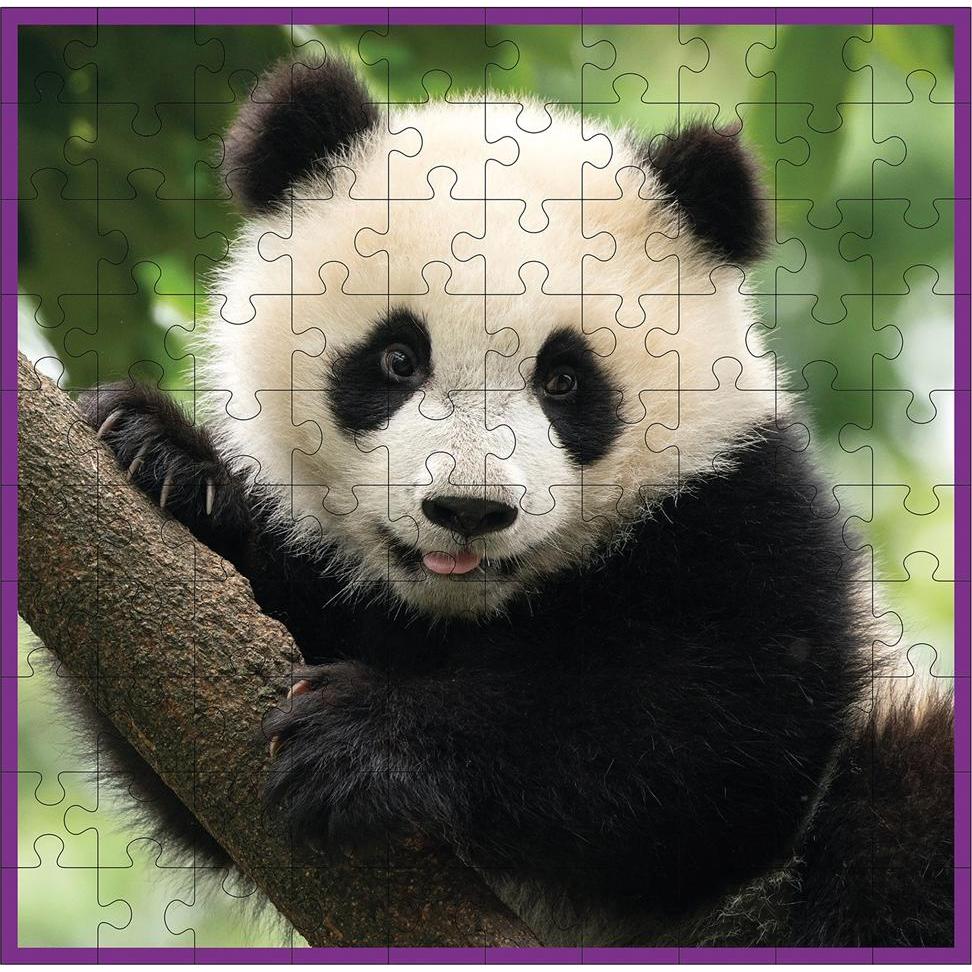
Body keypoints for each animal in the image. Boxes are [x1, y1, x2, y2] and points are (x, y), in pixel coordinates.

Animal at [81, 58, 953, 947]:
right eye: (398, 358)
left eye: (564, 380)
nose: (468, 509)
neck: (468, 612)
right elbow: (187, 750)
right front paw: (166, 461)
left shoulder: (742, 508)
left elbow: (716, 740)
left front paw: (366, 741)